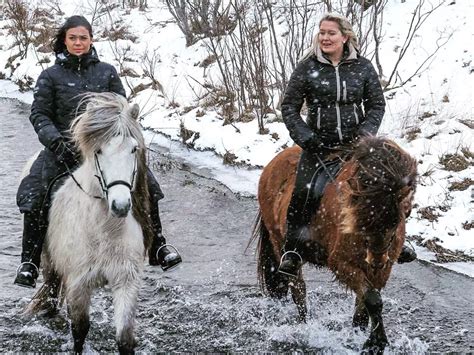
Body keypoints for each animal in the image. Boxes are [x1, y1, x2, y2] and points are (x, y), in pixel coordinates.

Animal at [24, 93, 154, 354]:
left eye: (134, 149)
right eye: (99, 151)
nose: (121, 206)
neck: (106, 230)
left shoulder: (126, 281)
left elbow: (124, 339)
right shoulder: (78, 284)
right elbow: (79, 331)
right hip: (48, 261)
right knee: (51, 290)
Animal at [250, 136, 416, 354]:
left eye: (397, 220)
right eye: (363, 218)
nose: (376, 260)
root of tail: (271, 166)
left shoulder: (383, 270)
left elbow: (366, 304)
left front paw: (359, 336)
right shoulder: (342, 264)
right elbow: (372, 300)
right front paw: (375, 344)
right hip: (279, 242)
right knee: (298, 290)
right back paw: (305, 329)